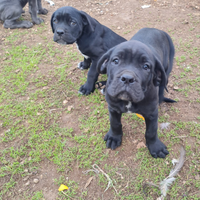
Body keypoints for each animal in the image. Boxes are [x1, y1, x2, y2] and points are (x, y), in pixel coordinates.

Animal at [97, 28, 176, 159]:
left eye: (146, 66)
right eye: (116, 61)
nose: (127, 78)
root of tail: (158, 30)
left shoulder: (152, 113)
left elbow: (151, 131)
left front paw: (155, 147)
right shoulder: (113, 108)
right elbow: (115, 123)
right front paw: (114, 137)